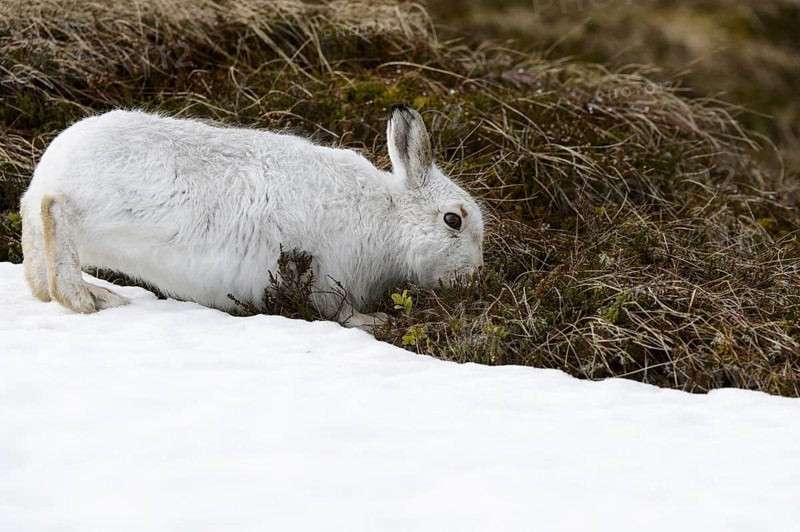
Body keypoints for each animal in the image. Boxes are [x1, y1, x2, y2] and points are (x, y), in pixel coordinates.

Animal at [20, 104, 485, 328]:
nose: (473, 278)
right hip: (100, 212)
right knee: (56, 214)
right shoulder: (327, 275)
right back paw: (88, 299)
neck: (388, 217)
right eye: (453, 221)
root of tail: (50, 169)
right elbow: (340, 313)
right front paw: (377, 320)